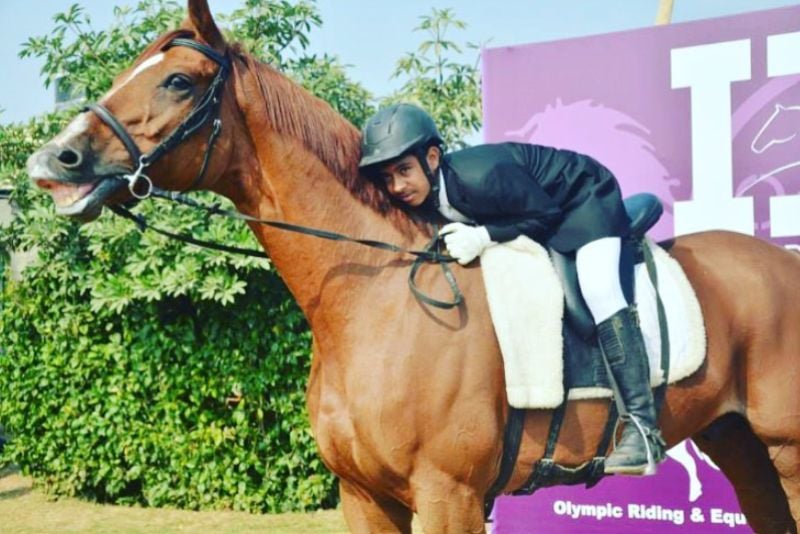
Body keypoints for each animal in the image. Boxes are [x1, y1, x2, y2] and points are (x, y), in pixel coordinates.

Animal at [25, 1, 800, 532]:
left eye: (180, 82)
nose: (53, 161)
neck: (376, 303)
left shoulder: (448, 496)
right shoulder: (364, 498)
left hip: (786, 447)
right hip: (740, 445)